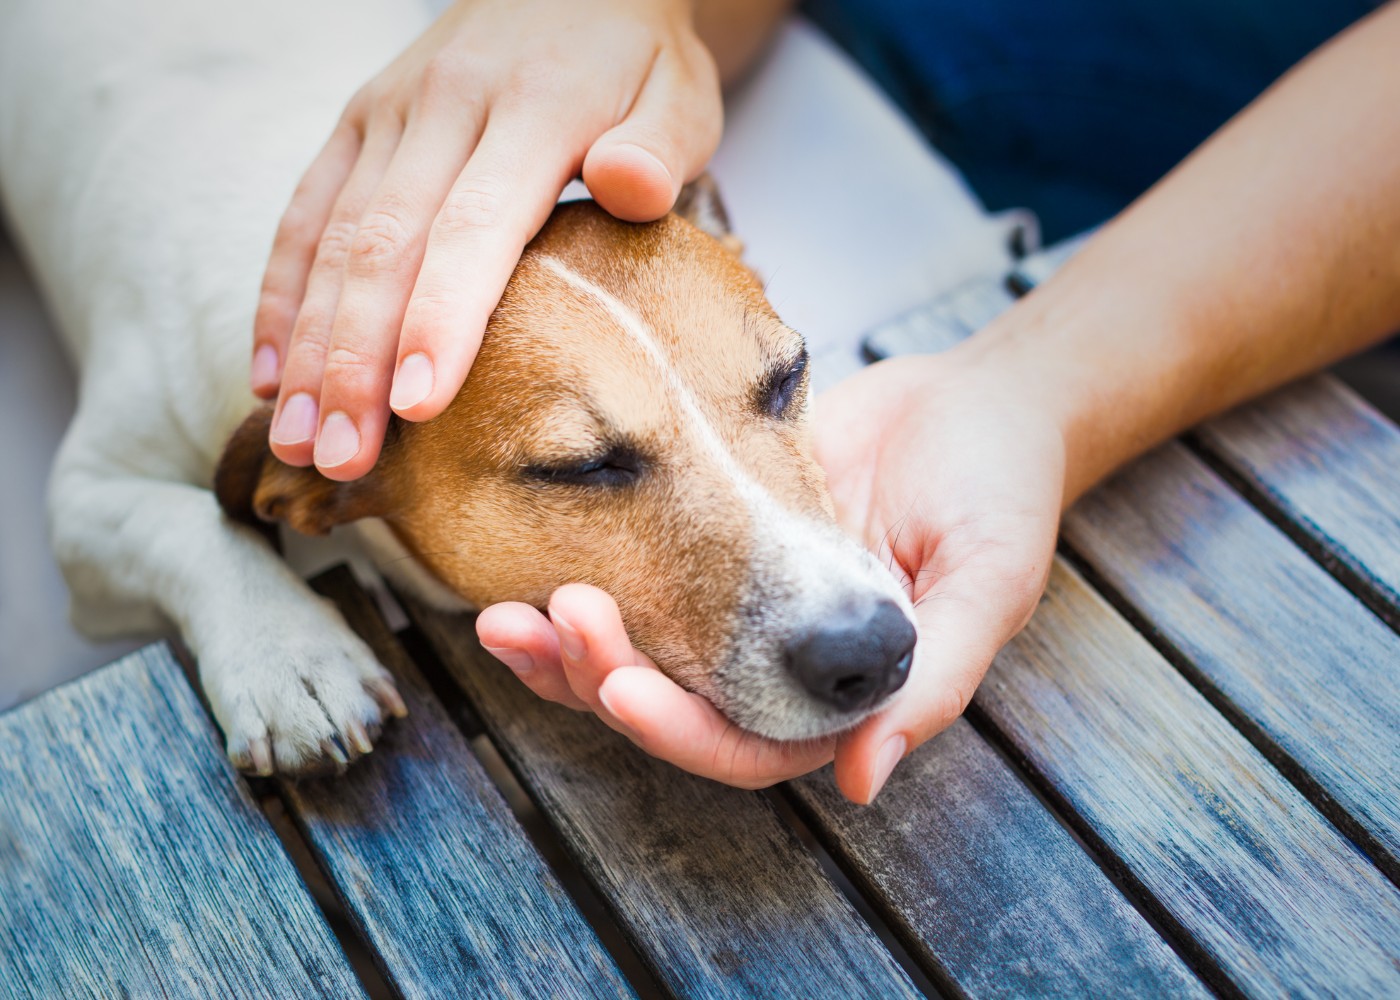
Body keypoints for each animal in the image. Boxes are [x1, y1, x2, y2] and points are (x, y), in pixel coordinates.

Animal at [2, 0, 918, 773]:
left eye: (788, 378)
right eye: (582, 468)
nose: (871, 649)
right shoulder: (85, 499)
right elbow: (191, 524)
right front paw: (288, 656)